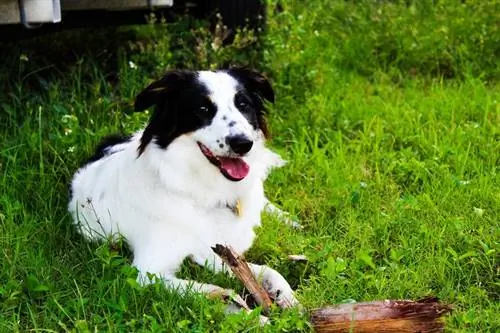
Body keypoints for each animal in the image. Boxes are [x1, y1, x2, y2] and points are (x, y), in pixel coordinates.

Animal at [68, 67, 298, 308]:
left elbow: (268, 270)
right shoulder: (149, 272)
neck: (201, 191)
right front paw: (243, 308)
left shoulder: (218, 251)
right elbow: (212, 290)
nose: (243, 144)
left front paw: (288, 297)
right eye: (203, 109)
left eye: (243, 105)